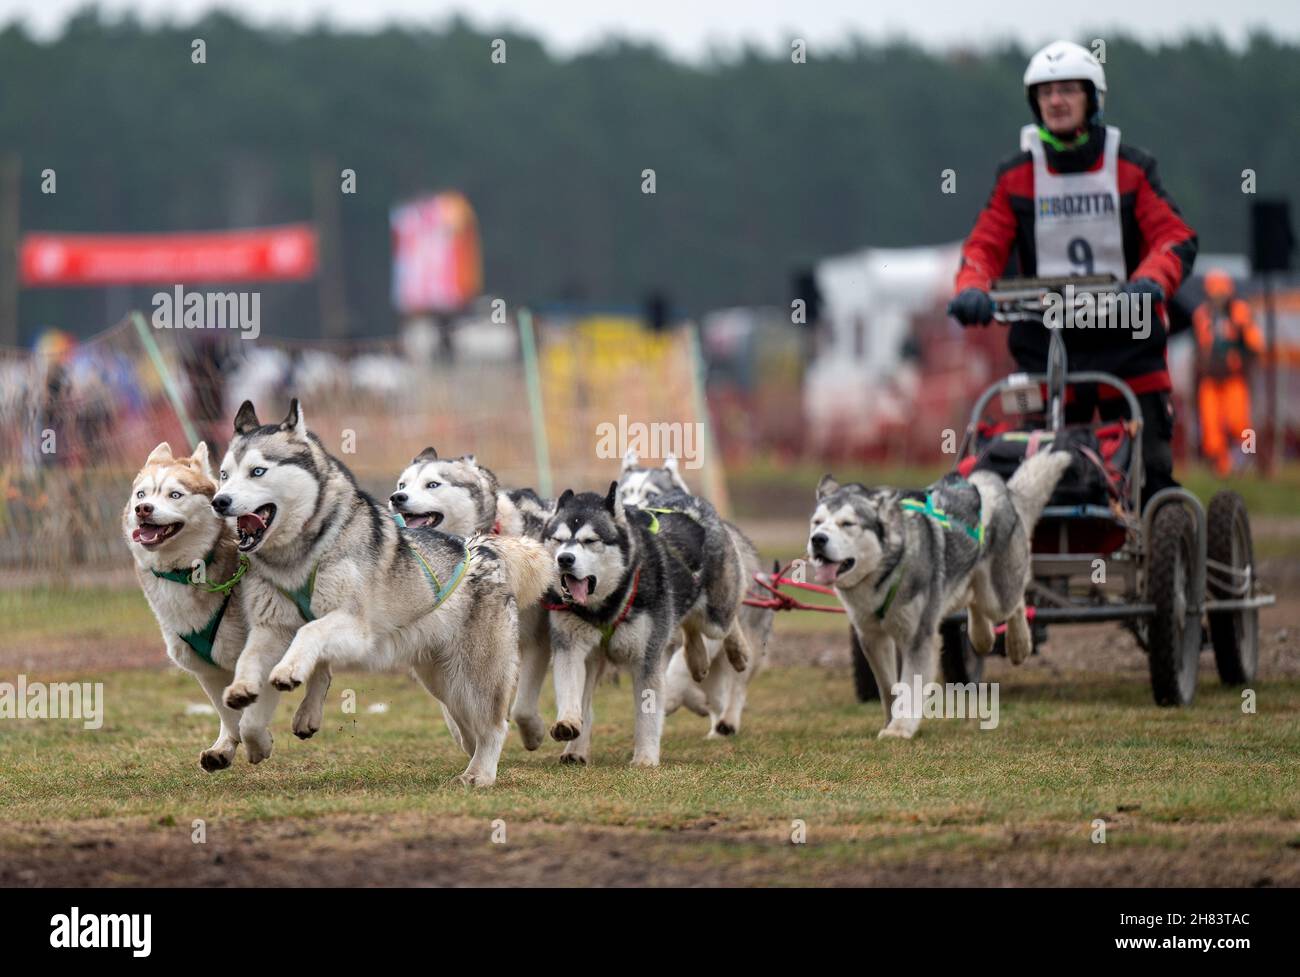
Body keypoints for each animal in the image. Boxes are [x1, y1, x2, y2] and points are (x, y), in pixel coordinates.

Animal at [209, 397, 553, 784]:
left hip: (478, 671)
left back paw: (480, 774)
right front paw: (248, 714)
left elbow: (310, 631)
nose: (219, 501)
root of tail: (483, 546)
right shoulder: (272, 628)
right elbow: (249, 665)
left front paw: (288, 671)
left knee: (494, 725)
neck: (299, 554)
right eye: (224, 474)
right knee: (467, 723)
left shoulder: (355, 628)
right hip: (441, 677)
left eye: (258, 471)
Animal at [806, 454, 1071, 737]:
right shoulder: (872, 636)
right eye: (817, 522)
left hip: (997, 596)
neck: (885, 571)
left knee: (1015, 600)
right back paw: (982, 636)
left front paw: (900, 728)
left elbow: (910, 686)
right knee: (971, 599)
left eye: (847, 524)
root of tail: (991, 484)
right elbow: (888, 687)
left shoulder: (919, 635)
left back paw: (1019, 643)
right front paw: (891, 721)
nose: (818, 539)